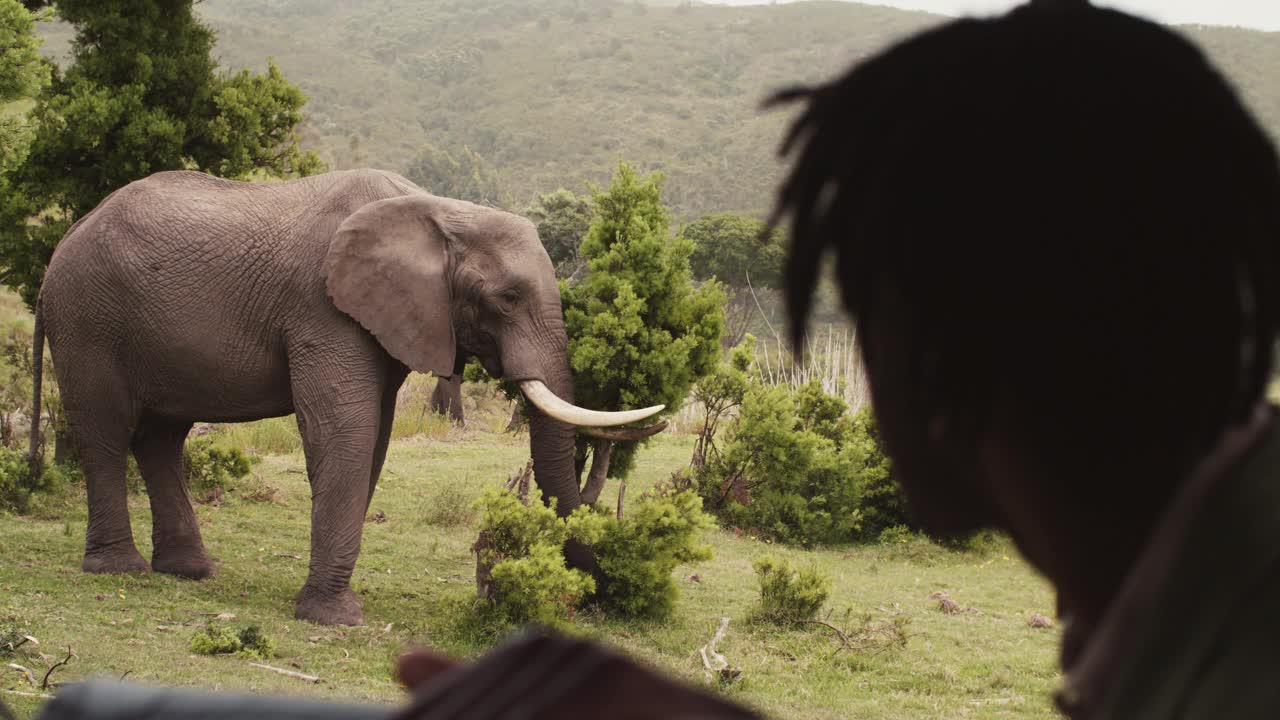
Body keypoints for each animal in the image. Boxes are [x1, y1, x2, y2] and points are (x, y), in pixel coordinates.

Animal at [40, 167, 660, 622]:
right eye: (507, 297)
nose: (598, 598)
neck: (441, 211)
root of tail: (70, 232)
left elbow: (375, 439)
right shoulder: (323, 308)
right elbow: (345, 431)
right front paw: (334, 617)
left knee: (162, 437)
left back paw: (189, 571)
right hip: (87, 315)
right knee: (106, 430)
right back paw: (119, 570)